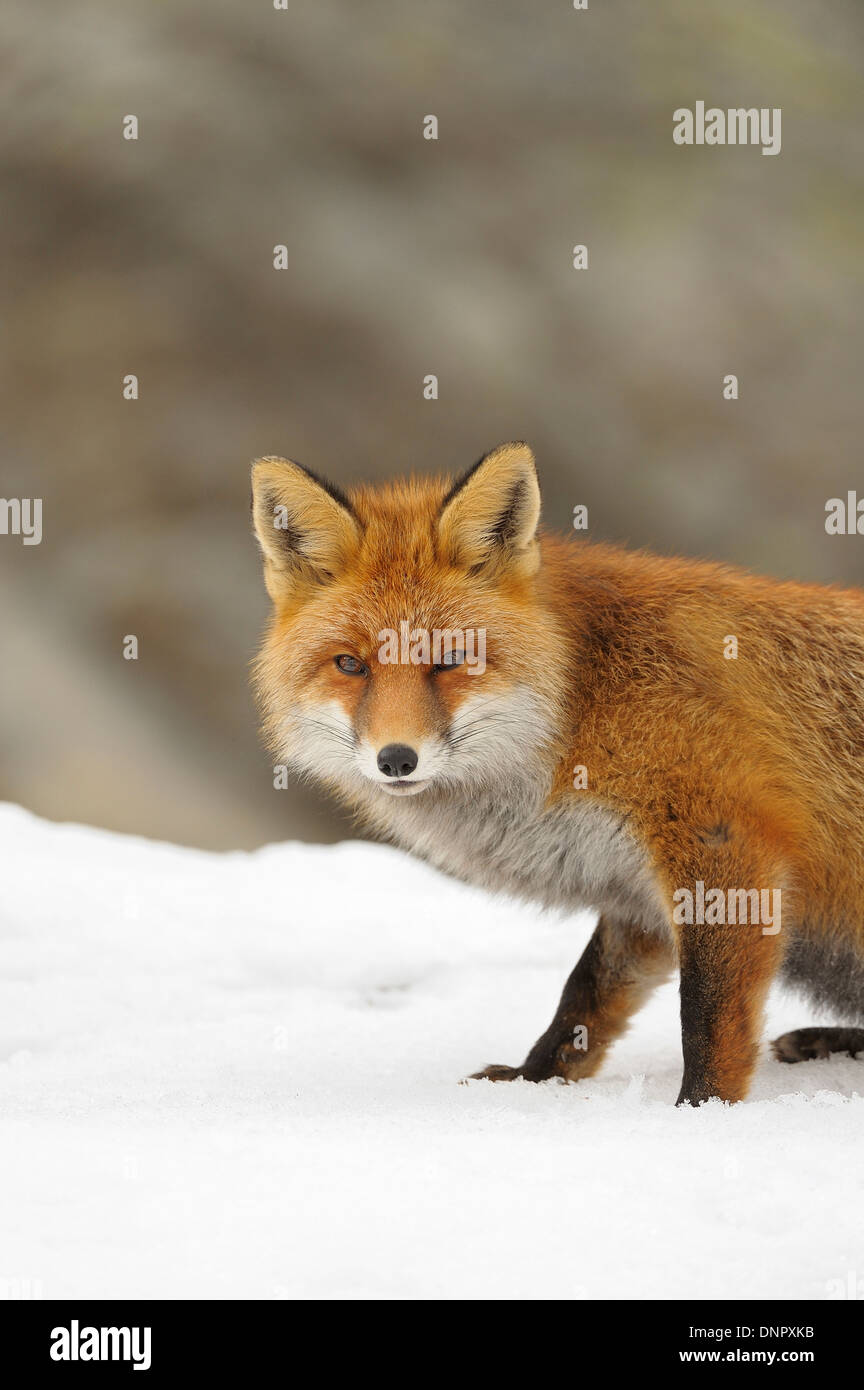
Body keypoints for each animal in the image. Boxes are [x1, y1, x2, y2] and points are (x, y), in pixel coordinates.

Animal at [251, 440, 864, 1105]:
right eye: (350, 665)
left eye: (452, 659)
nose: (396, 758)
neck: (579, 704)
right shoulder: (635, 892)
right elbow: (584, 998)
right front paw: (533, 1081)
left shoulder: (722, 845)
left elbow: (706, 1017)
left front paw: (701, 1111)